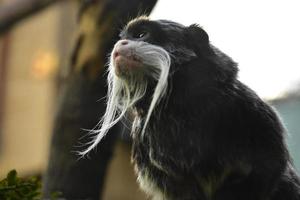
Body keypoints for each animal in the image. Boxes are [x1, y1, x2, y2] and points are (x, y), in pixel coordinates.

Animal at [79, 16, 300, 199]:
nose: (120, 44)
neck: (178, 105)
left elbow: (269, 167)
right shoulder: (144, 140)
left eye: (141, 35)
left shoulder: (246, 108)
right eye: (123, 37)